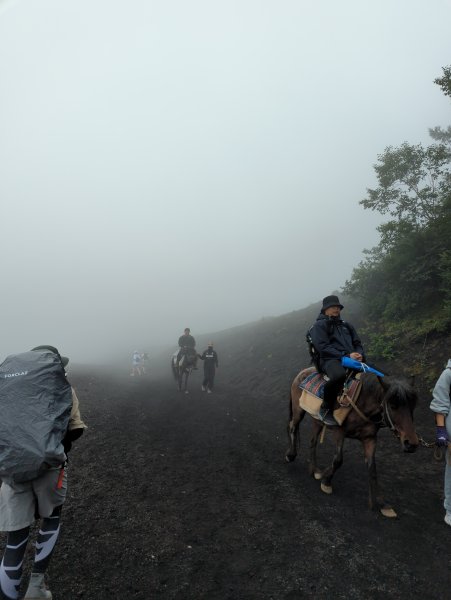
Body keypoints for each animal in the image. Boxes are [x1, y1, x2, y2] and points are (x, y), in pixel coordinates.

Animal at [286, 366, 420, 516]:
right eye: (393, 405)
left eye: (412, 406)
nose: (411, 443)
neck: (362, 403)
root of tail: (303, 372)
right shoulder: (339, 432)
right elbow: (338, 460)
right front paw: (326, 482)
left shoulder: (369, 439)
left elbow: (372, 470)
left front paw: (383, 504)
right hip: (298, 410)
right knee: (292, 426)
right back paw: (291, 455)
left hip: (317, 421)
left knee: (312, 441)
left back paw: (314, 470)